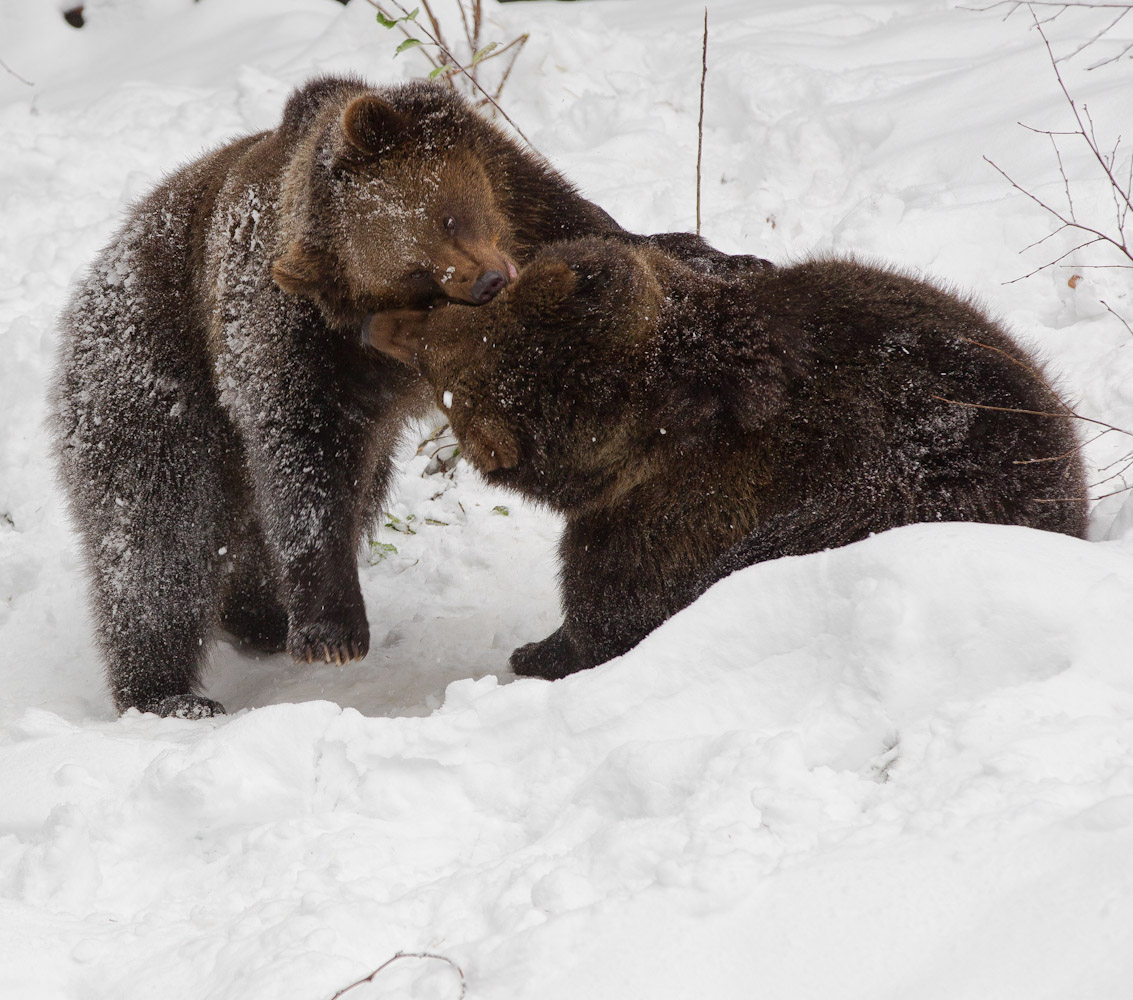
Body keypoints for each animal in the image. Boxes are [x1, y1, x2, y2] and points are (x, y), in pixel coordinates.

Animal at [50, 76, 657, 720]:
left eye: (448, 217)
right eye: (420, 274)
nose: (491, 281)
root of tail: (94, 280)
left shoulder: (523, 194)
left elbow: (589, 231)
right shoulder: (292, 333)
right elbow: (305, 459)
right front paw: (334, 633)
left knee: (318, 502)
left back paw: (259, 615)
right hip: (150, 374)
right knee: (156, 538)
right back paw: (165, 691)